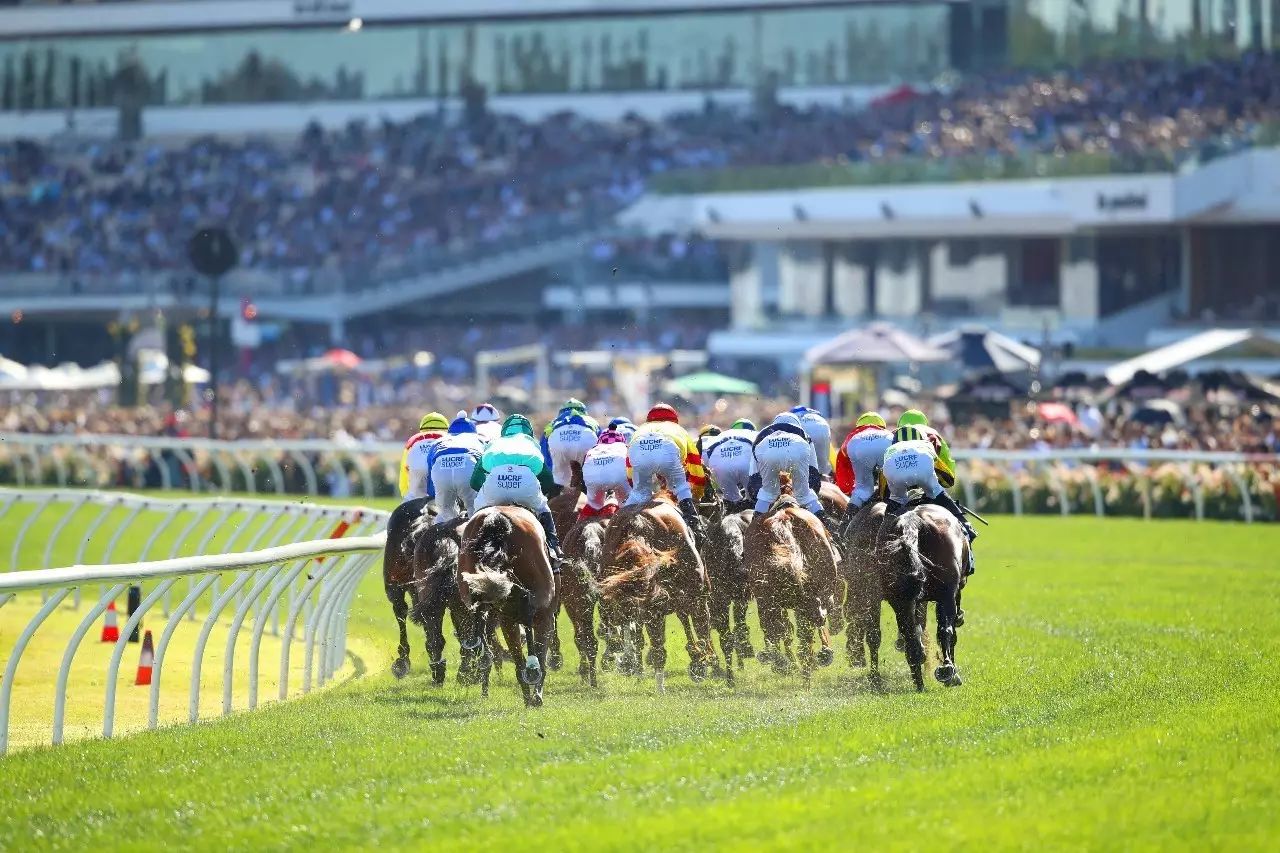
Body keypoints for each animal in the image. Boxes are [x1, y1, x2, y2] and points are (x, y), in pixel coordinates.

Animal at [460, 504, 560, 701]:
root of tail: (496, 517)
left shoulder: (505, 617)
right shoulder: (546, 614)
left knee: (480, 612)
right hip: (540, 600)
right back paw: (532, 673)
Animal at [747, 473, 844, 681]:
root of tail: (784, 518)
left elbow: (785, 630)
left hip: (768, 596)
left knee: (776, 626)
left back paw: (780, 660)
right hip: (817, 590)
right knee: (816, 616)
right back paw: (819, 655)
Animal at [865, 499, 962, 691]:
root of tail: (913, 521)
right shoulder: (952, 593)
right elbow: (950, 631)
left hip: (899, 599)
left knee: (911, 639)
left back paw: (918, 681)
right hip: (946, 593)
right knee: (945, 630)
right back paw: (947, 671)